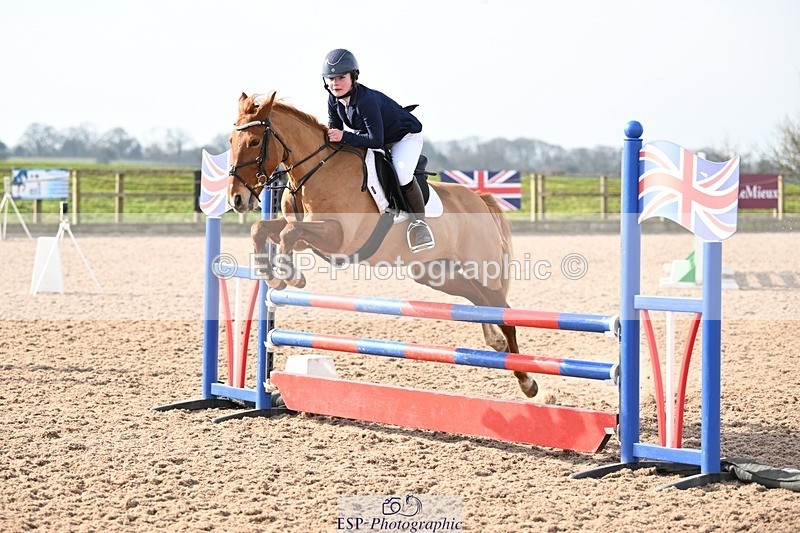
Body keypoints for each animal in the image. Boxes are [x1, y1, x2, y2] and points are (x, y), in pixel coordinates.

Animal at [227, 91, 537, 398]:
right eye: (231, 141)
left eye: (254, 142)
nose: (236, 199)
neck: (317, 170)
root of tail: (479, 199)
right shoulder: (311, 236)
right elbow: (264, 229)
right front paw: (273, 274)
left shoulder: (337, 236)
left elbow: (289, 233)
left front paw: (288, 275)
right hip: (436, 273)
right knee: (478, 301)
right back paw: (496, 344)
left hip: (482, 268)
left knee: (504, 314)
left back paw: (527, 382)